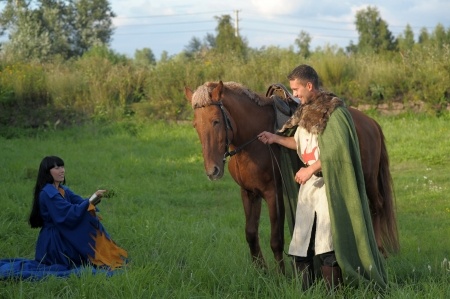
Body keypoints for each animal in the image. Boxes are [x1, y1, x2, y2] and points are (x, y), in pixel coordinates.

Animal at [185, 81, 400, 274]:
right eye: (195, 125)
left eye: (216, 121)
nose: (212, 170)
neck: (253, 142)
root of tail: (371, 122)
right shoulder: (248, 193)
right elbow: (251, 234)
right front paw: (260, 272)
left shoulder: (274, 194)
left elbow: (276, 239)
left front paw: (281, 276)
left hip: (369, 180)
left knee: (377, 207)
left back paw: (380, 251)